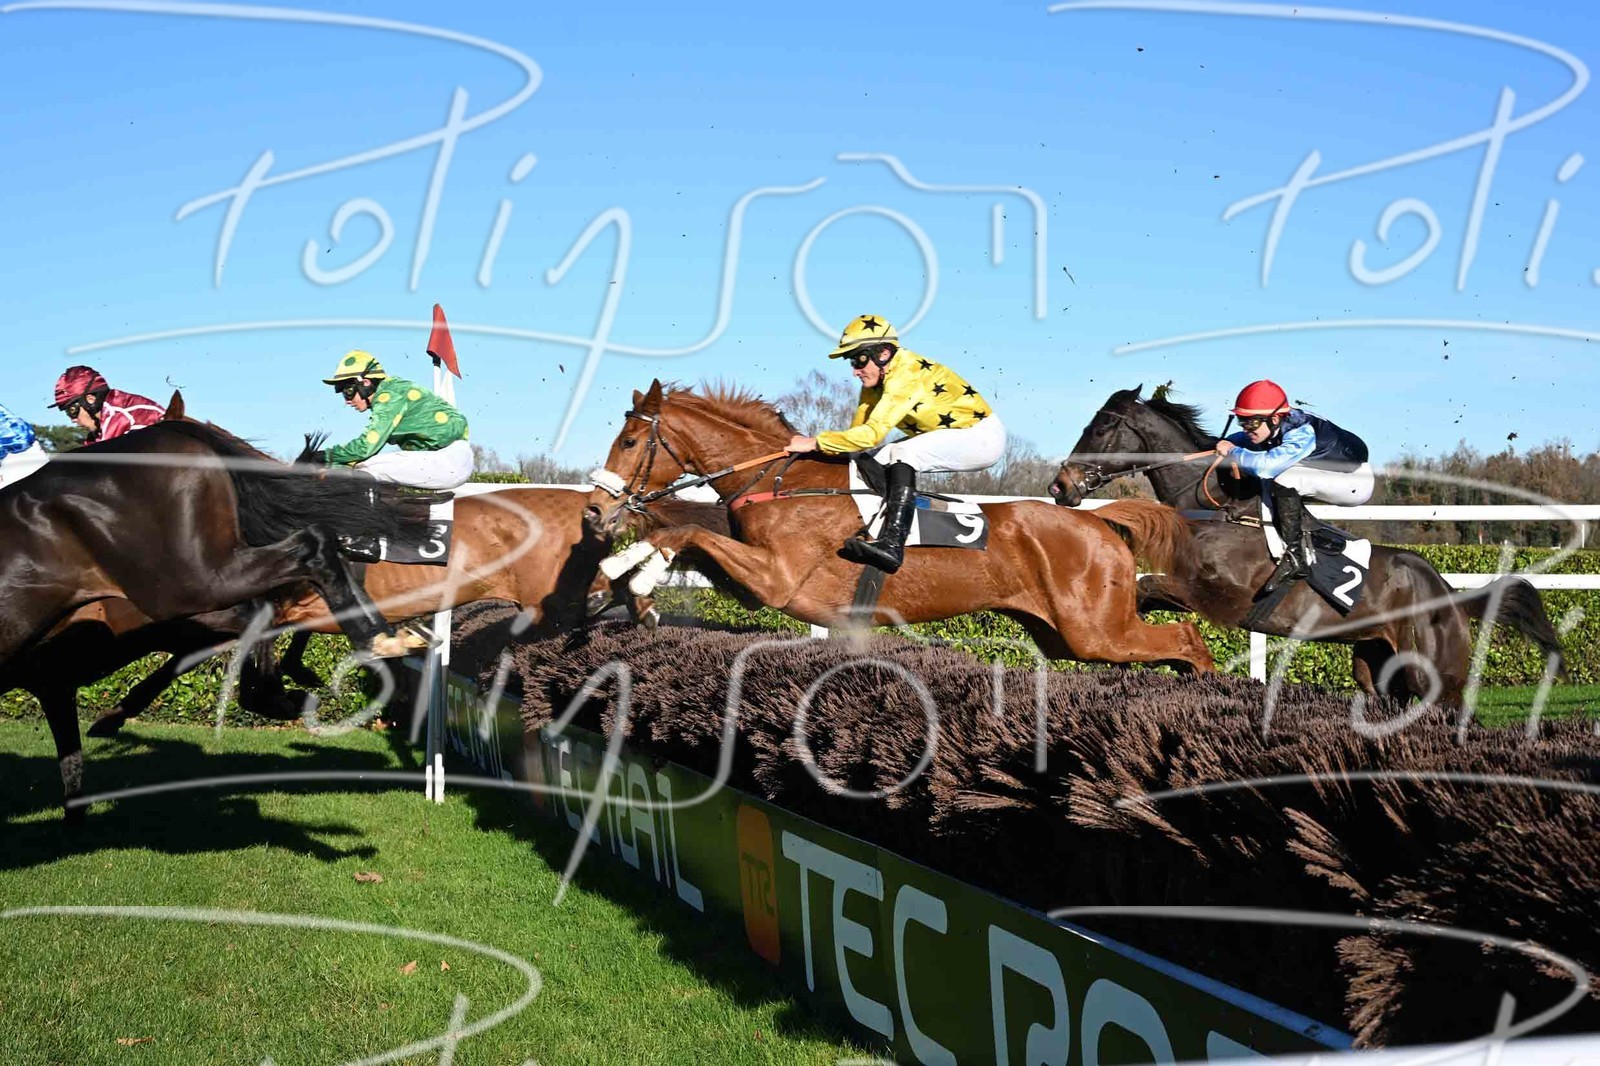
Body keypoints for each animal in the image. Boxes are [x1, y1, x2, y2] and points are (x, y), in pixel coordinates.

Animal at [590, 380, 1215, 672]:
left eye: (630, 441)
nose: (597, 508)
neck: (785, 481)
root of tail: (1098, 522)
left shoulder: (780, 579)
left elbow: (684, 534)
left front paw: (625, 573)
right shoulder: (749, 582)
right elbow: (682, 540)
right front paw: (625, 589)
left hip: (1096, 632)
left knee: (1187, 638)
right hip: (1065, 636)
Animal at [1048, 385, 1567, 706]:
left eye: (1100, 429)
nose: (1060, 486)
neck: (1213, 506)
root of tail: (1449, 593)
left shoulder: (1218, 596)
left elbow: (1147, 589)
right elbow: (1144, 594)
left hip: (1434, 677)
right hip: (1376, 666)